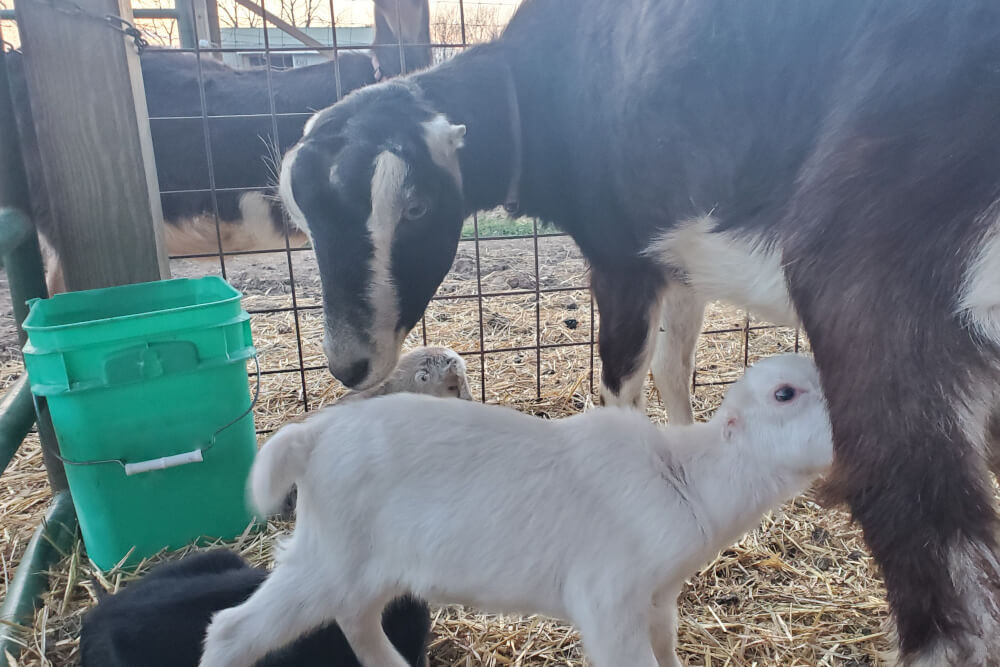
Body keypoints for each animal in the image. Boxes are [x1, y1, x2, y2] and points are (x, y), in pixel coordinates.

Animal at [199, 354, 832, 667]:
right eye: (784, 394)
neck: (687, 474)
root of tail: (314, 436)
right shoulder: (609, 600)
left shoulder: (658, 600)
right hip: (326, 559)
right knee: (233, 631)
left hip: (363, 567)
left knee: (356, 620)